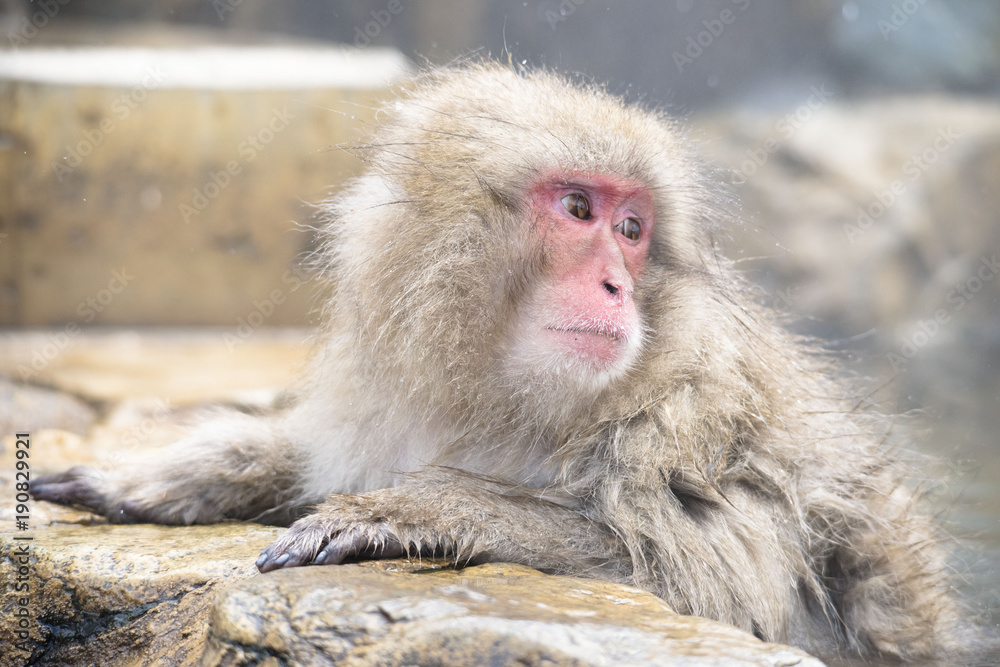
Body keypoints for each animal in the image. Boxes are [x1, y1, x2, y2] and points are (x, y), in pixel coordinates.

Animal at [31, 62, 985, 665]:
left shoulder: (691, 413)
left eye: (632, 229)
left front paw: (418, 510)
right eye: (578, 208)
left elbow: (723, 591)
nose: (615, 283)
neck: (507, 397)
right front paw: (169, 471)